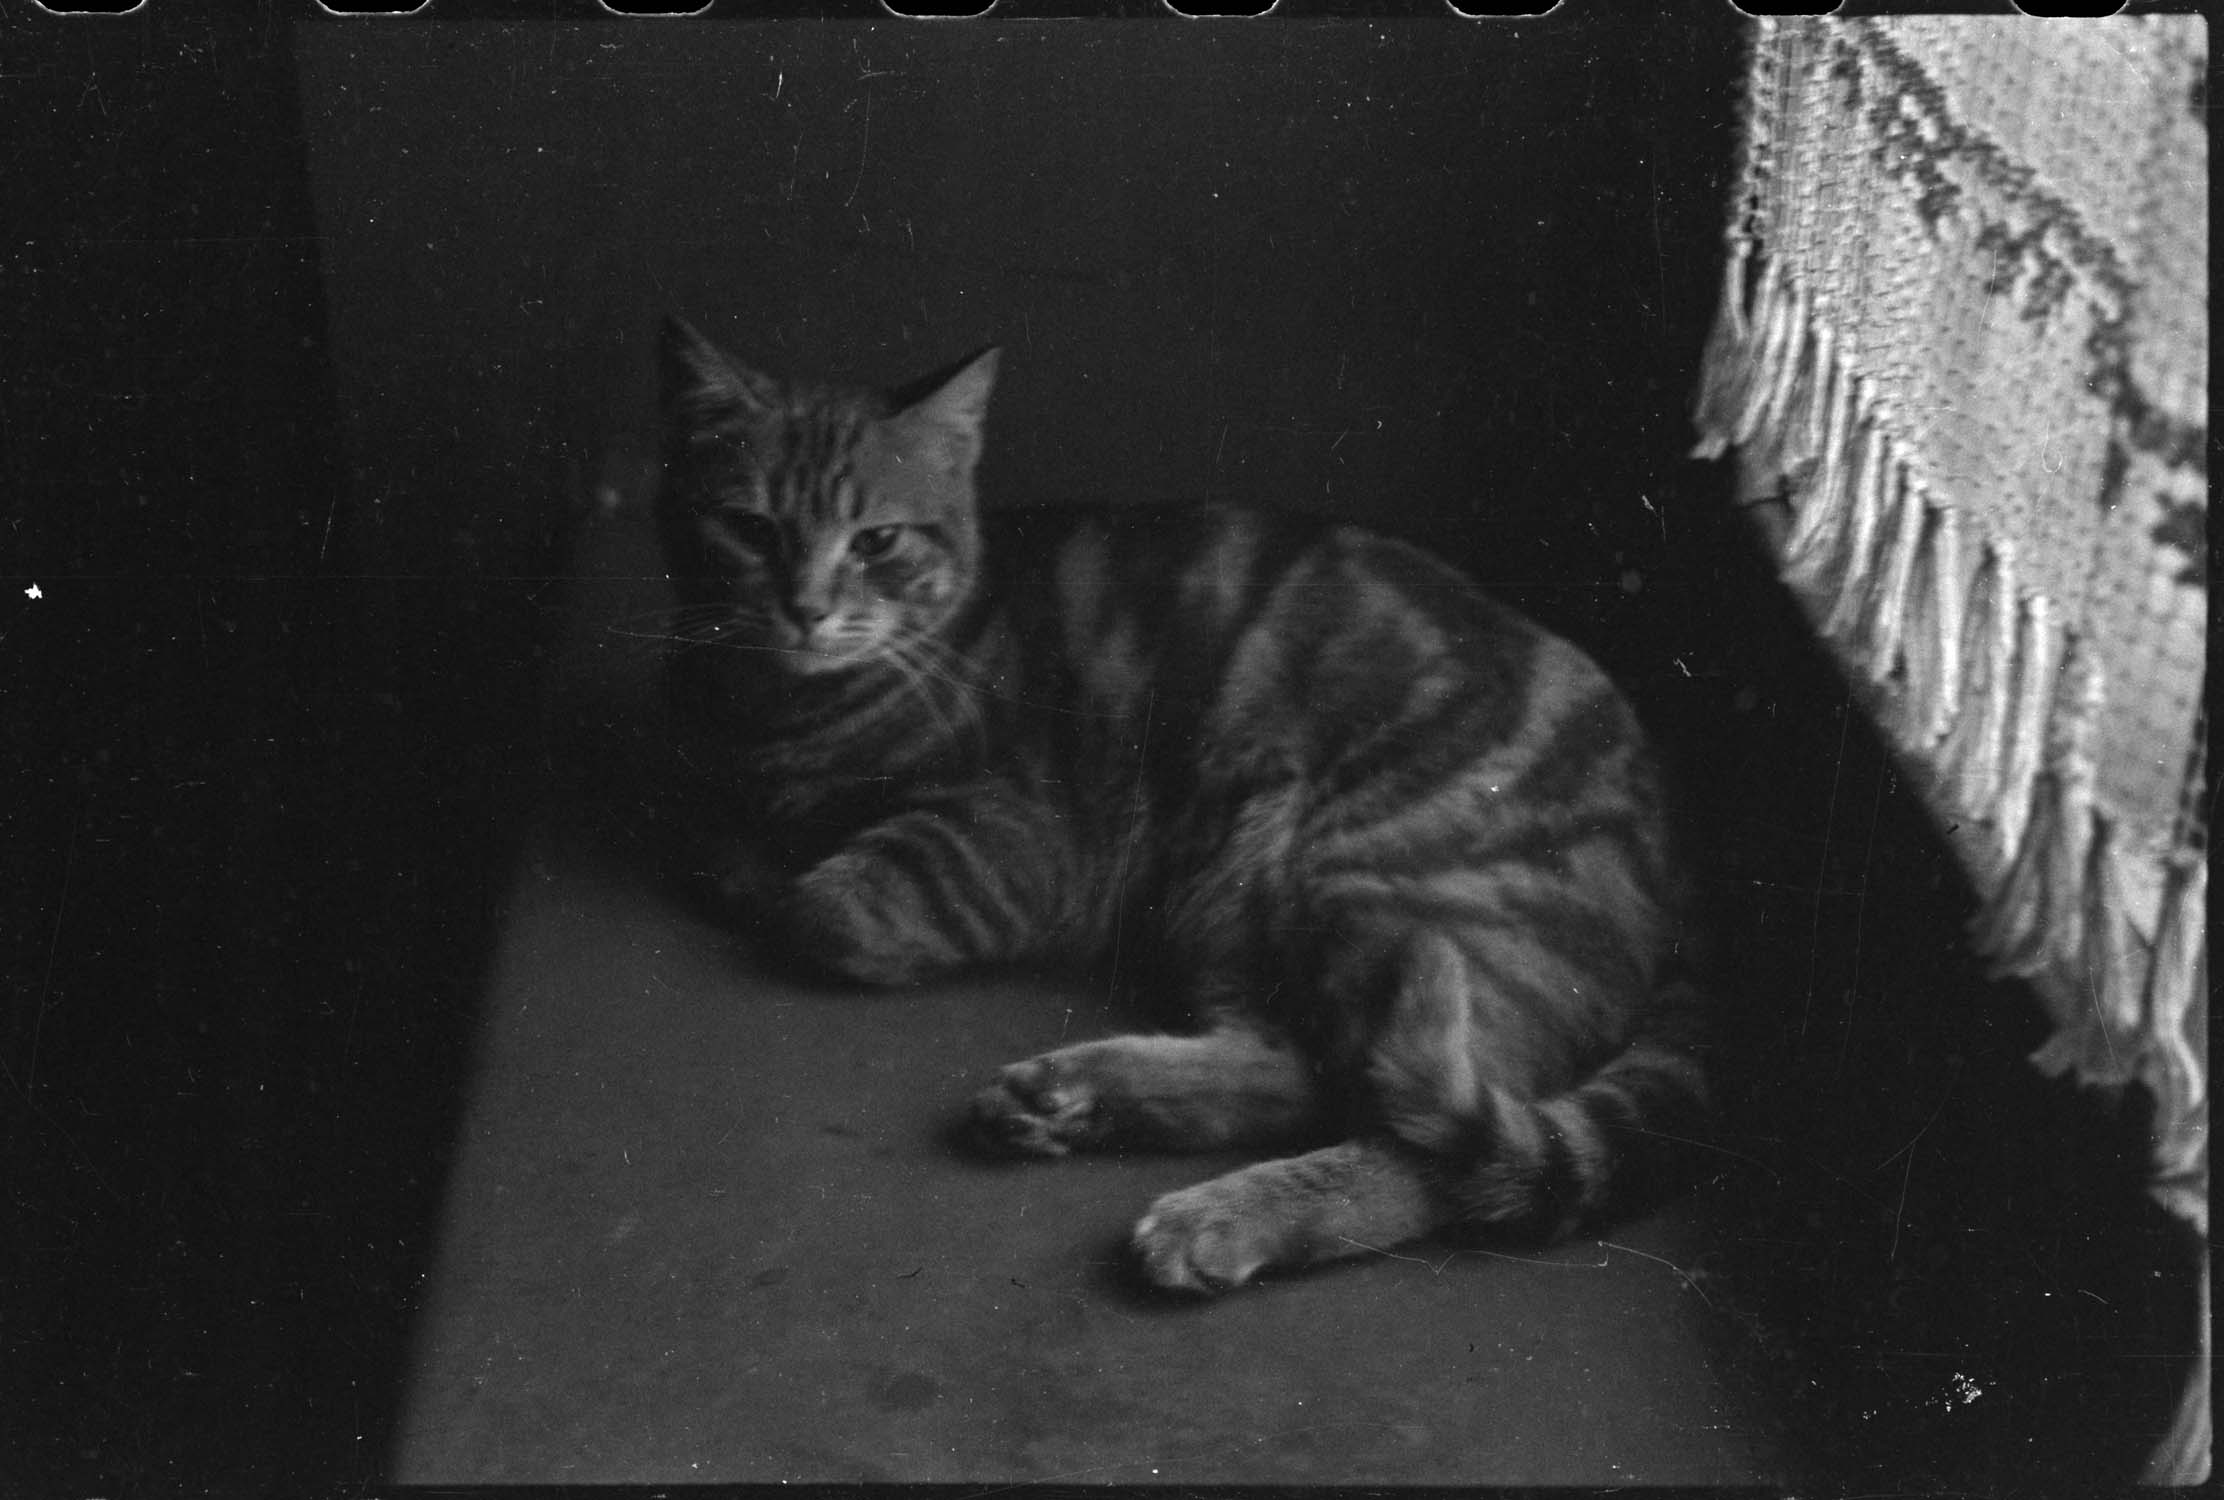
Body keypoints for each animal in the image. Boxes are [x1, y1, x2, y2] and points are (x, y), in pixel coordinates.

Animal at [649, 318, 1708, 1299]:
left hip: (1362, 880)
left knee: (1419, 1147)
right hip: (1239, 897)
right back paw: (1069, 1099)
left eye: (875, 541)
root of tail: (1672, 855)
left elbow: (815, 906)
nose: (805, 608)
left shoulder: (1007, 844)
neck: (776, 709)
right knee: (1298, 1070)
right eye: (751, 530)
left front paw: (777, 877)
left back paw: (1220, 1214)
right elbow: (710, 835)